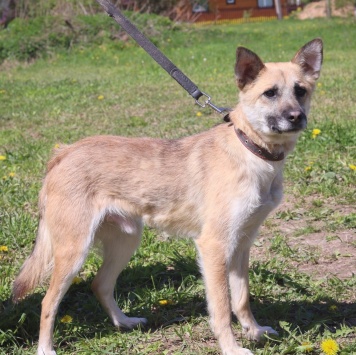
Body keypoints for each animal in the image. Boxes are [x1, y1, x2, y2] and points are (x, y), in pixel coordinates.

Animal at [12, 37, 322, 354]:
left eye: (300, 90)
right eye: (270, 93)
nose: (296, 117)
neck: (251, 150)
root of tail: (63, 153)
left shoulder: (242, 244)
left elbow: (242, 298)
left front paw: (255, 331)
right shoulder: (214, 246)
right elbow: (222, 308)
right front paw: (231, 347)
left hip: (126, 241)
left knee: (100, 285)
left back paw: (124, 322)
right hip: (73, 252)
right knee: (48, 301)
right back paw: (45, 348)